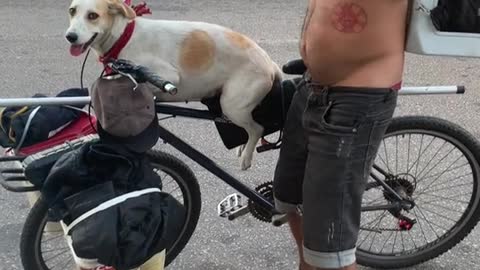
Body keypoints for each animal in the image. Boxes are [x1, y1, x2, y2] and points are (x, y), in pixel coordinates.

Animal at [64, 0, 282, 170]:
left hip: (232, 106)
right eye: (72, 11)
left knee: (257, 129)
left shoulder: (167, 77)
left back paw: (246, 156)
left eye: (93, 15)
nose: (70, 36)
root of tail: (270, 63)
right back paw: (242, 148)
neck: (123, 36)